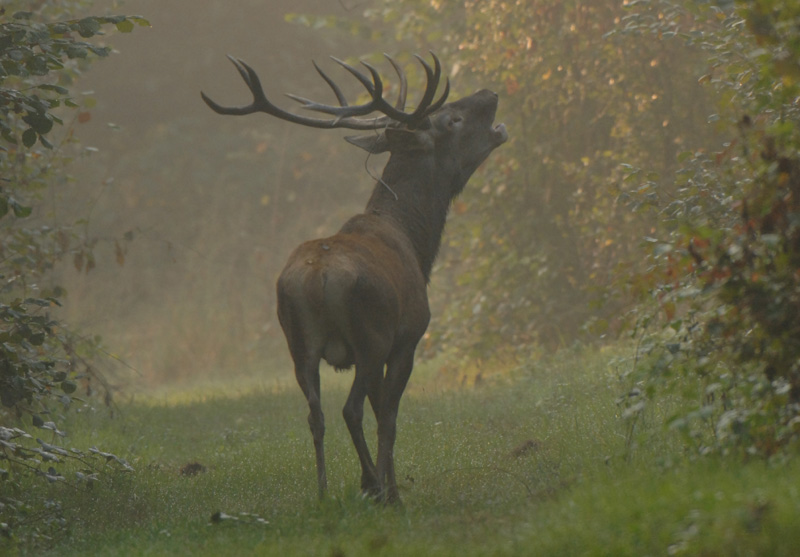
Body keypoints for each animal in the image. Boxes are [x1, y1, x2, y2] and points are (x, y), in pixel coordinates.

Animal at [203, 52, 510, 504]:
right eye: (452, 118)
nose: (490, 94)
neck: (418, 244)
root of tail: (315, 279)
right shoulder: (407, 337)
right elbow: (389, 416)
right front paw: (390, 489)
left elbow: (380, 411)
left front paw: (387, 484)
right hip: (371, 335)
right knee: (351, 409)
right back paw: (373, 486)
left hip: (298, 344)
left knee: (315, 414)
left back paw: (323, 491)